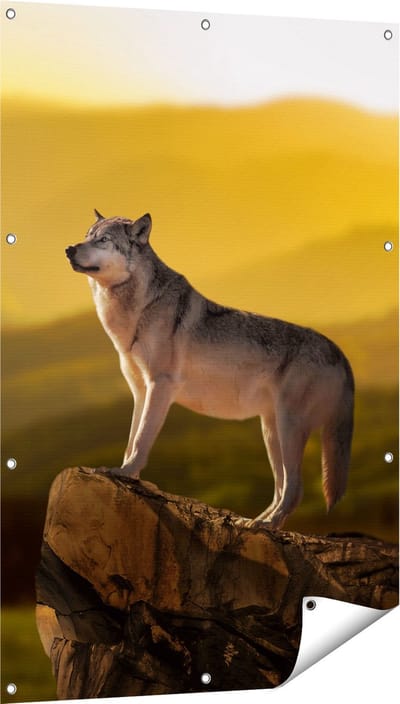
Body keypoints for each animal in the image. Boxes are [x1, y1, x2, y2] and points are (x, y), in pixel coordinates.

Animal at [66, 211, 354, 529]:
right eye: (87, 235)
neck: (138, 309)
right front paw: (127, 474)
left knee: (295, 488)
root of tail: (340, 352)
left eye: (104, 240)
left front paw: (125, 473)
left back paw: (266, 525)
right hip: (271, 431)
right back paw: (254, 522)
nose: (69, 249)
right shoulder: (140, 392)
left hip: (289, 427)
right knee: (281, 488)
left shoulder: (160, 386)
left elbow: (141, 440)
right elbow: (132, 439)